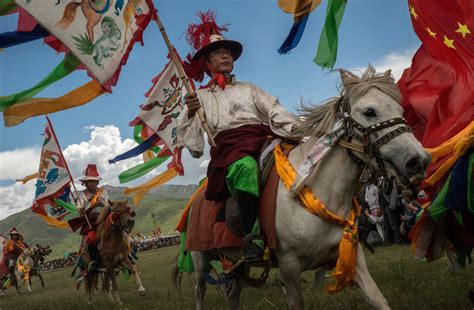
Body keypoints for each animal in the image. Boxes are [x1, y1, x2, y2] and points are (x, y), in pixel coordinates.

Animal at [188, 66, 430, 308]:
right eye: (370, 112)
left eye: (400, 109)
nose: (418, 160)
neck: (320, 191)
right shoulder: (289, 266)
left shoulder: (352, 254)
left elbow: (376, 297)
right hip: (200, 259)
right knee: (199, 291)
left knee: (233, 294)